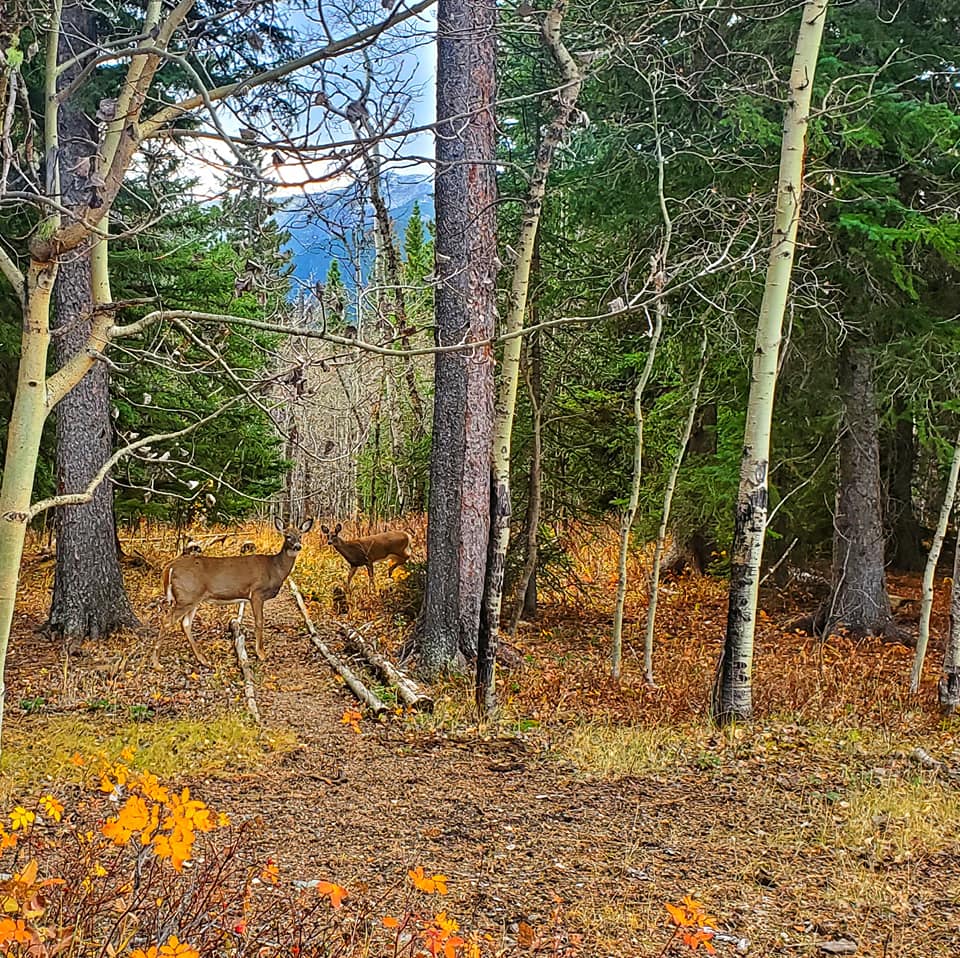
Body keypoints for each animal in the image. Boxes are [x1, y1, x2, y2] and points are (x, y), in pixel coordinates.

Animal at [159, 516, 314, 668]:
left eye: (300, 535)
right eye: (287, 536)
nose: (297, 546)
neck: (274, 569)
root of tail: (169, 567)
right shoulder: (257, 592)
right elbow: (259, 621)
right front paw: (261, 654)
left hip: (192, 597)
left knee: (185, 624)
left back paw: (203, 660)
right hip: (187, 596)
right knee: (166, 621)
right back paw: (157, 664)